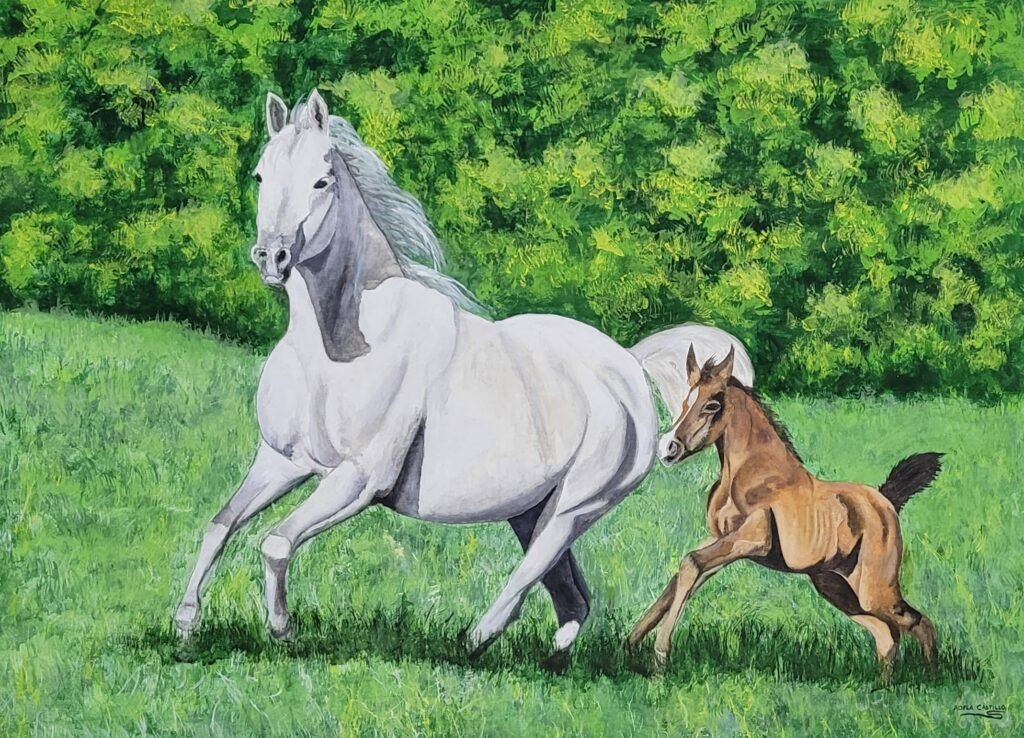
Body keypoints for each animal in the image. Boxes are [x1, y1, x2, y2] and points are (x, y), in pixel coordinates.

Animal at [173, 89, 753, 659]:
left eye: (321, 180)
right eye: (260, 175)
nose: (271, 257)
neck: (343, 348)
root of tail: (630, 364)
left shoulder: (358, 479)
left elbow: (275, 542)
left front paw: (282, 629)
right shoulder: (281, 461)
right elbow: (220, 525)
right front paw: (185, 624)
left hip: (574, 508)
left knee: (531, 575)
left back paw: (475, 642)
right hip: (530, 510)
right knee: (573, 600)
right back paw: (551, 659)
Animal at [626, 346, 941, 681]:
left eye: (712, 404)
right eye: (686, 401)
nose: (668, 449)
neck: (748, 473)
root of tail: (887, 500)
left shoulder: (752, 539)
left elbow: (690, 564)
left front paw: (659, 656)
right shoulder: (722, 540)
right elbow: (684, 574)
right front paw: (630, 643)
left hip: (874, 591)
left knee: (919, 623)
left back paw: (931, 680)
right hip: (836, 587)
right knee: (887, 636)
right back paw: (885, 686)